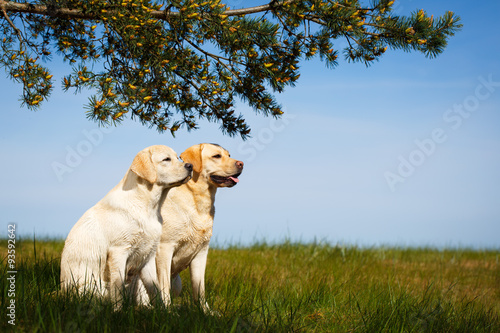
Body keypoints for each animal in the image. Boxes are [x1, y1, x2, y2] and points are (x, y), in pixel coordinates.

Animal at [59, 144, 191, 308]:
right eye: (166, 159)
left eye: (177, 157)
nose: (190, 166)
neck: (148, 206)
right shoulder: (118, 251)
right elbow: (118, 288)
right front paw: (118, 311)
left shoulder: (148, 255)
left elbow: (154, 289)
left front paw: (163, 311)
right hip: (94, 287)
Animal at [140, 143, 243, 312]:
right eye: (216, 156)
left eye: (229, 155)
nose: (241, 164)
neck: (199, 200)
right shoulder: (165, 249)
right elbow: (164, 287)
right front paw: (167, 311)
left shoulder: (201, 252)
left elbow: (199, 288)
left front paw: (205, 311)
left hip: (178, 283)